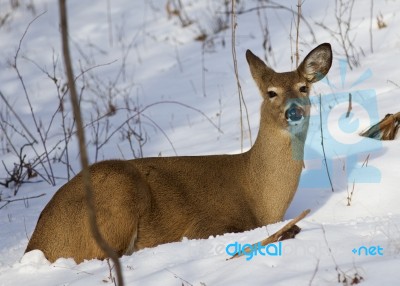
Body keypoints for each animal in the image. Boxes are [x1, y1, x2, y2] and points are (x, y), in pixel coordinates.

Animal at [23, 42, 332, 264]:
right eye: (271, 92)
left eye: (304, 88)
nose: (294, 111)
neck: (261, 197)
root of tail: (37, 243)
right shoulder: (205, 225)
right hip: (117, 193)